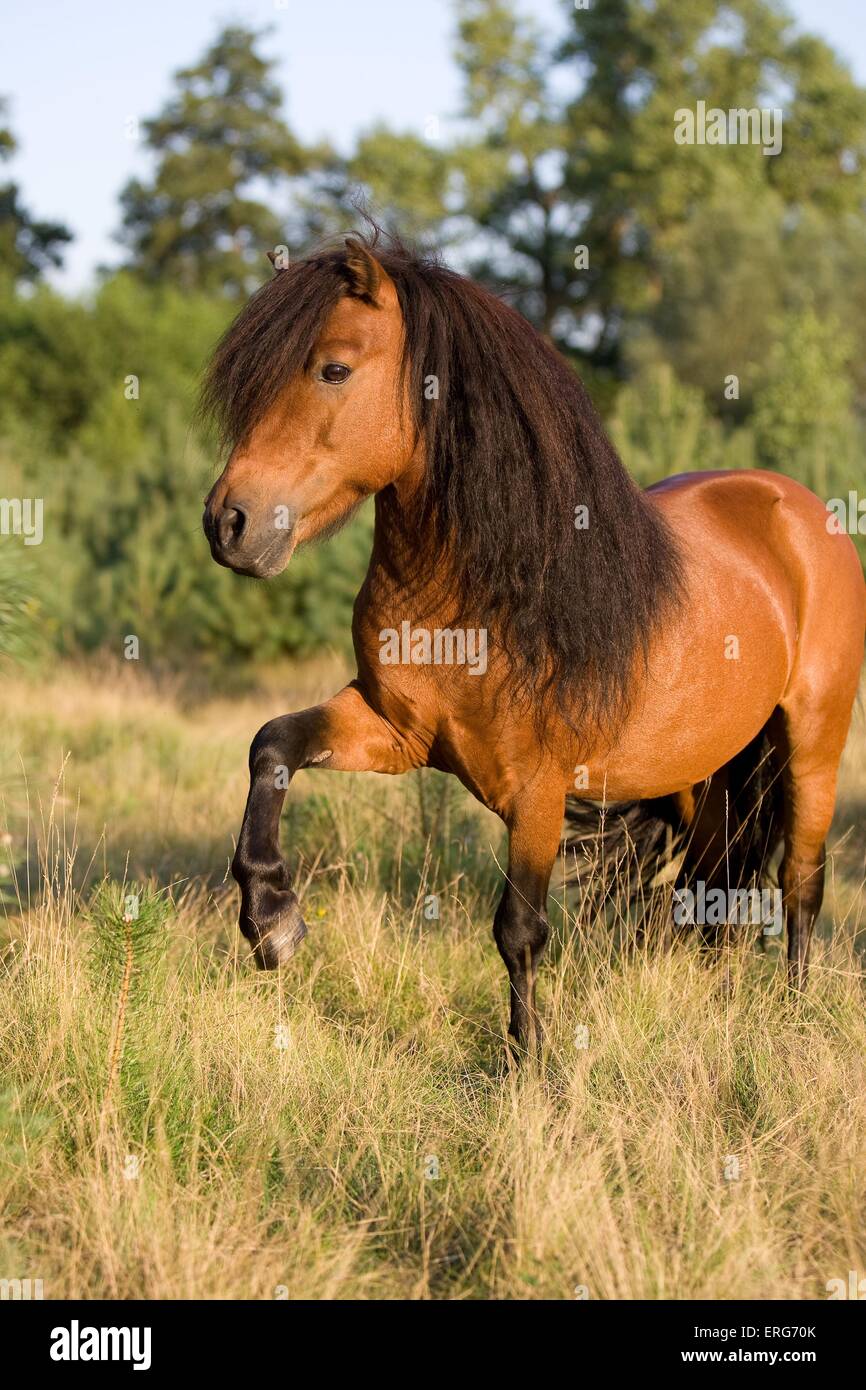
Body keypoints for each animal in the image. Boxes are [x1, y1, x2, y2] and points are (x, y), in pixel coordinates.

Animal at [201, 233, 861, 1045]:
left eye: (334, 368)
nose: (228, 523)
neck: (480, 592)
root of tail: (801, 509)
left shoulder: (539, 789)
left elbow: (518, 929)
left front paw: (530, 1060)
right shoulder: (396, 731)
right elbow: (273, 746)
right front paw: (271, 917)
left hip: (814, 744)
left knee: (800, 881)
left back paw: (795, 1015)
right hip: (703, 769)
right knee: (713, 884)